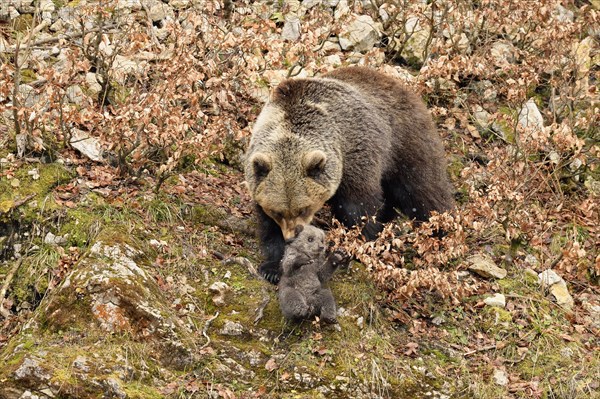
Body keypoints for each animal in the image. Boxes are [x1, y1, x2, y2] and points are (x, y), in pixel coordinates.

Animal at [244, 66, 454, 284]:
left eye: (303, 208)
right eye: (278, 211)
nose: (291, 236)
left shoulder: (356, 157)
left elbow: (359, 209)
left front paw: (361, 246)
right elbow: (269, 228)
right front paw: (273, 267)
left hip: (406, 145)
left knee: (423, 193)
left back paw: (441, 234)